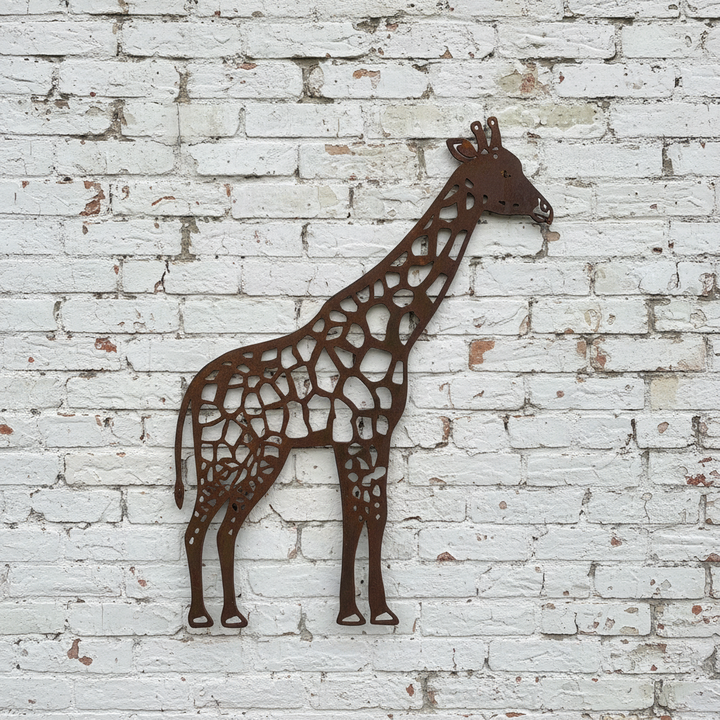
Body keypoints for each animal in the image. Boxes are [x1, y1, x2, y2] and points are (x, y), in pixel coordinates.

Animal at [174, 117, 553, 629]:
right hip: (224, 455)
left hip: (263, 454)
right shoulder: (363, 432)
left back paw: (231, 616)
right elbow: (367, 517)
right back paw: (200, 617)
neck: (395, 332)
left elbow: (366, 517)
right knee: (196, 529)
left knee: (225, 529)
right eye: (507, 171)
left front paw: (368, 611)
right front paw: (364, 612)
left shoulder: (362, 436)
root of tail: (194, 390)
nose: (546, 211)